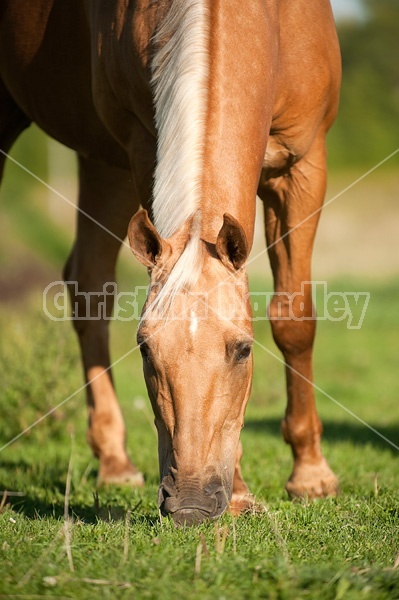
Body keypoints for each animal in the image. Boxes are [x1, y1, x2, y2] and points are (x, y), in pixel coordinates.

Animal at [1, 0, 342, 524]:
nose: (191, 503)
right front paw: (241, 493)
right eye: (145, 349)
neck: (266, 23)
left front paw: (311, 476)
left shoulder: (303, 167)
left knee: (89, 287)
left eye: (244, 350)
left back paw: (115, 461)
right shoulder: (144, 146)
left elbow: (294, 319)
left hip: (102, 160)